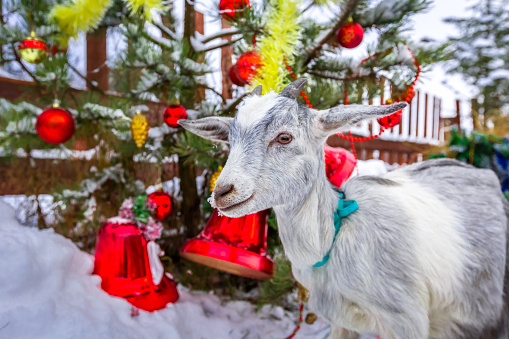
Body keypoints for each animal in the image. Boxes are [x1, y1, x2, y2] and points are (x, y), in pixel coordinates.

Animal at [177, 79, 506, 338]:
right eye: (229, 141)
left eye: (284, 137)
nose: (222, 192)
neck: (332, 240)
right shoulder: (341, 322)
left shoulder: (407, 320)